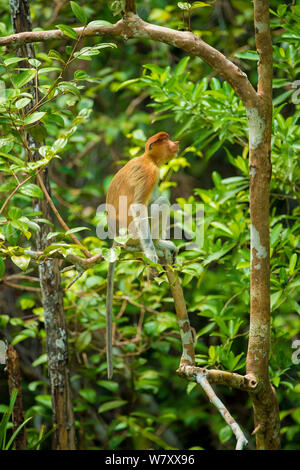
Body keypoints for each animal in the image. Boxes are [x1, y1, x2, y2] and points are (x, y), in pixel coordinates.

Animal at [105, 131, 179, 378]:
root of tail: (117, 238)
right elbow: (139, 207)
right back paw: (155, 245)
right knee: (161, 202)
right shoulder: (150, 173)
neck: (148, 159)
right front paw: (152, 255)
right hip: (133, 234)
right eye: (166, 140)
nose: (176, 143)